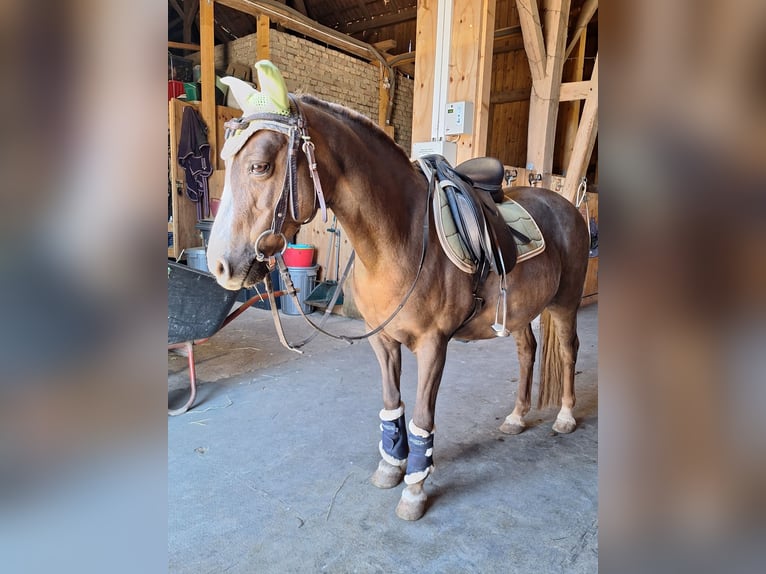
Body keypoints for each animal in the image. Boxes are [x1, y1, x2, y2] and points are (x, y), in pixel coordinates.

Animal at [207, 62, 589, 521]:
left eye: (260, 166)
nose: (220, 265)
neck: (399, 237)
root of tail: (567, 205)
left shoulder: (433, 345)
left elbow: (422, 416)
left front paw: (415, 490)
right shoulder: (384, 341)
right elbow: (393, 405)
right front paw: (392, 467)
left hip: (565, 303)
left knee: (567, 349)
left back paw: (565, 416)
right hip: (519, 311)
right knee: (527, 350)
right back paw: (516, 417)